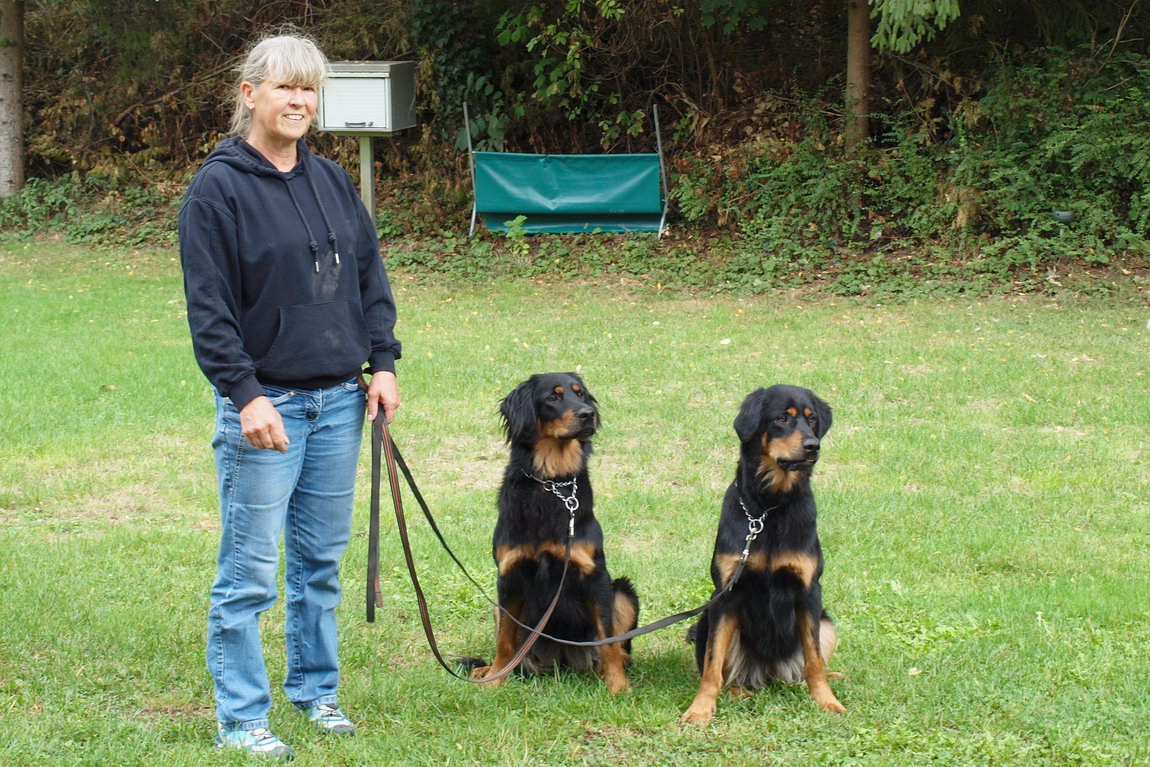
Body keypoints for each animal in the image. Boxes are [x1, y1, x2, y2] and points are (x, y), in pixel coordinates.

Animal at [471, 372, 644, 694]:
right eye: (553, 397)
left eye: (581, 395)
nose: (588, 414)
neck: (552, 482)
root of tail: (562, 660)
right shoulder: (508, 576)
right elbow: (504, 640)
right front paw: (496, 677)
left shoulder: (596, 576)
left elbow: (608, 641)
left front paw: (617, 685)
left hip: (622, 591)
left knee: (617, 645)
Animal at [680, 386, 846, 722]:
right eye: (782, 418)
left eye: (812, 420)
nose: (813, 446)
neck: (770, 508)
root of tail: (769, 674)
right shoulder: (726, 594)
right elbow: (712, 666)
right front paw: (701, 708)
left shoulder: (809, 591)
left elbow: (814, 660)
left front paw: (826, 700)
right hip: (706, 620)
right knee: (727, 673)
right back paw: (738, 692)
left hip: (826, 623)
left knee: (805, 668)